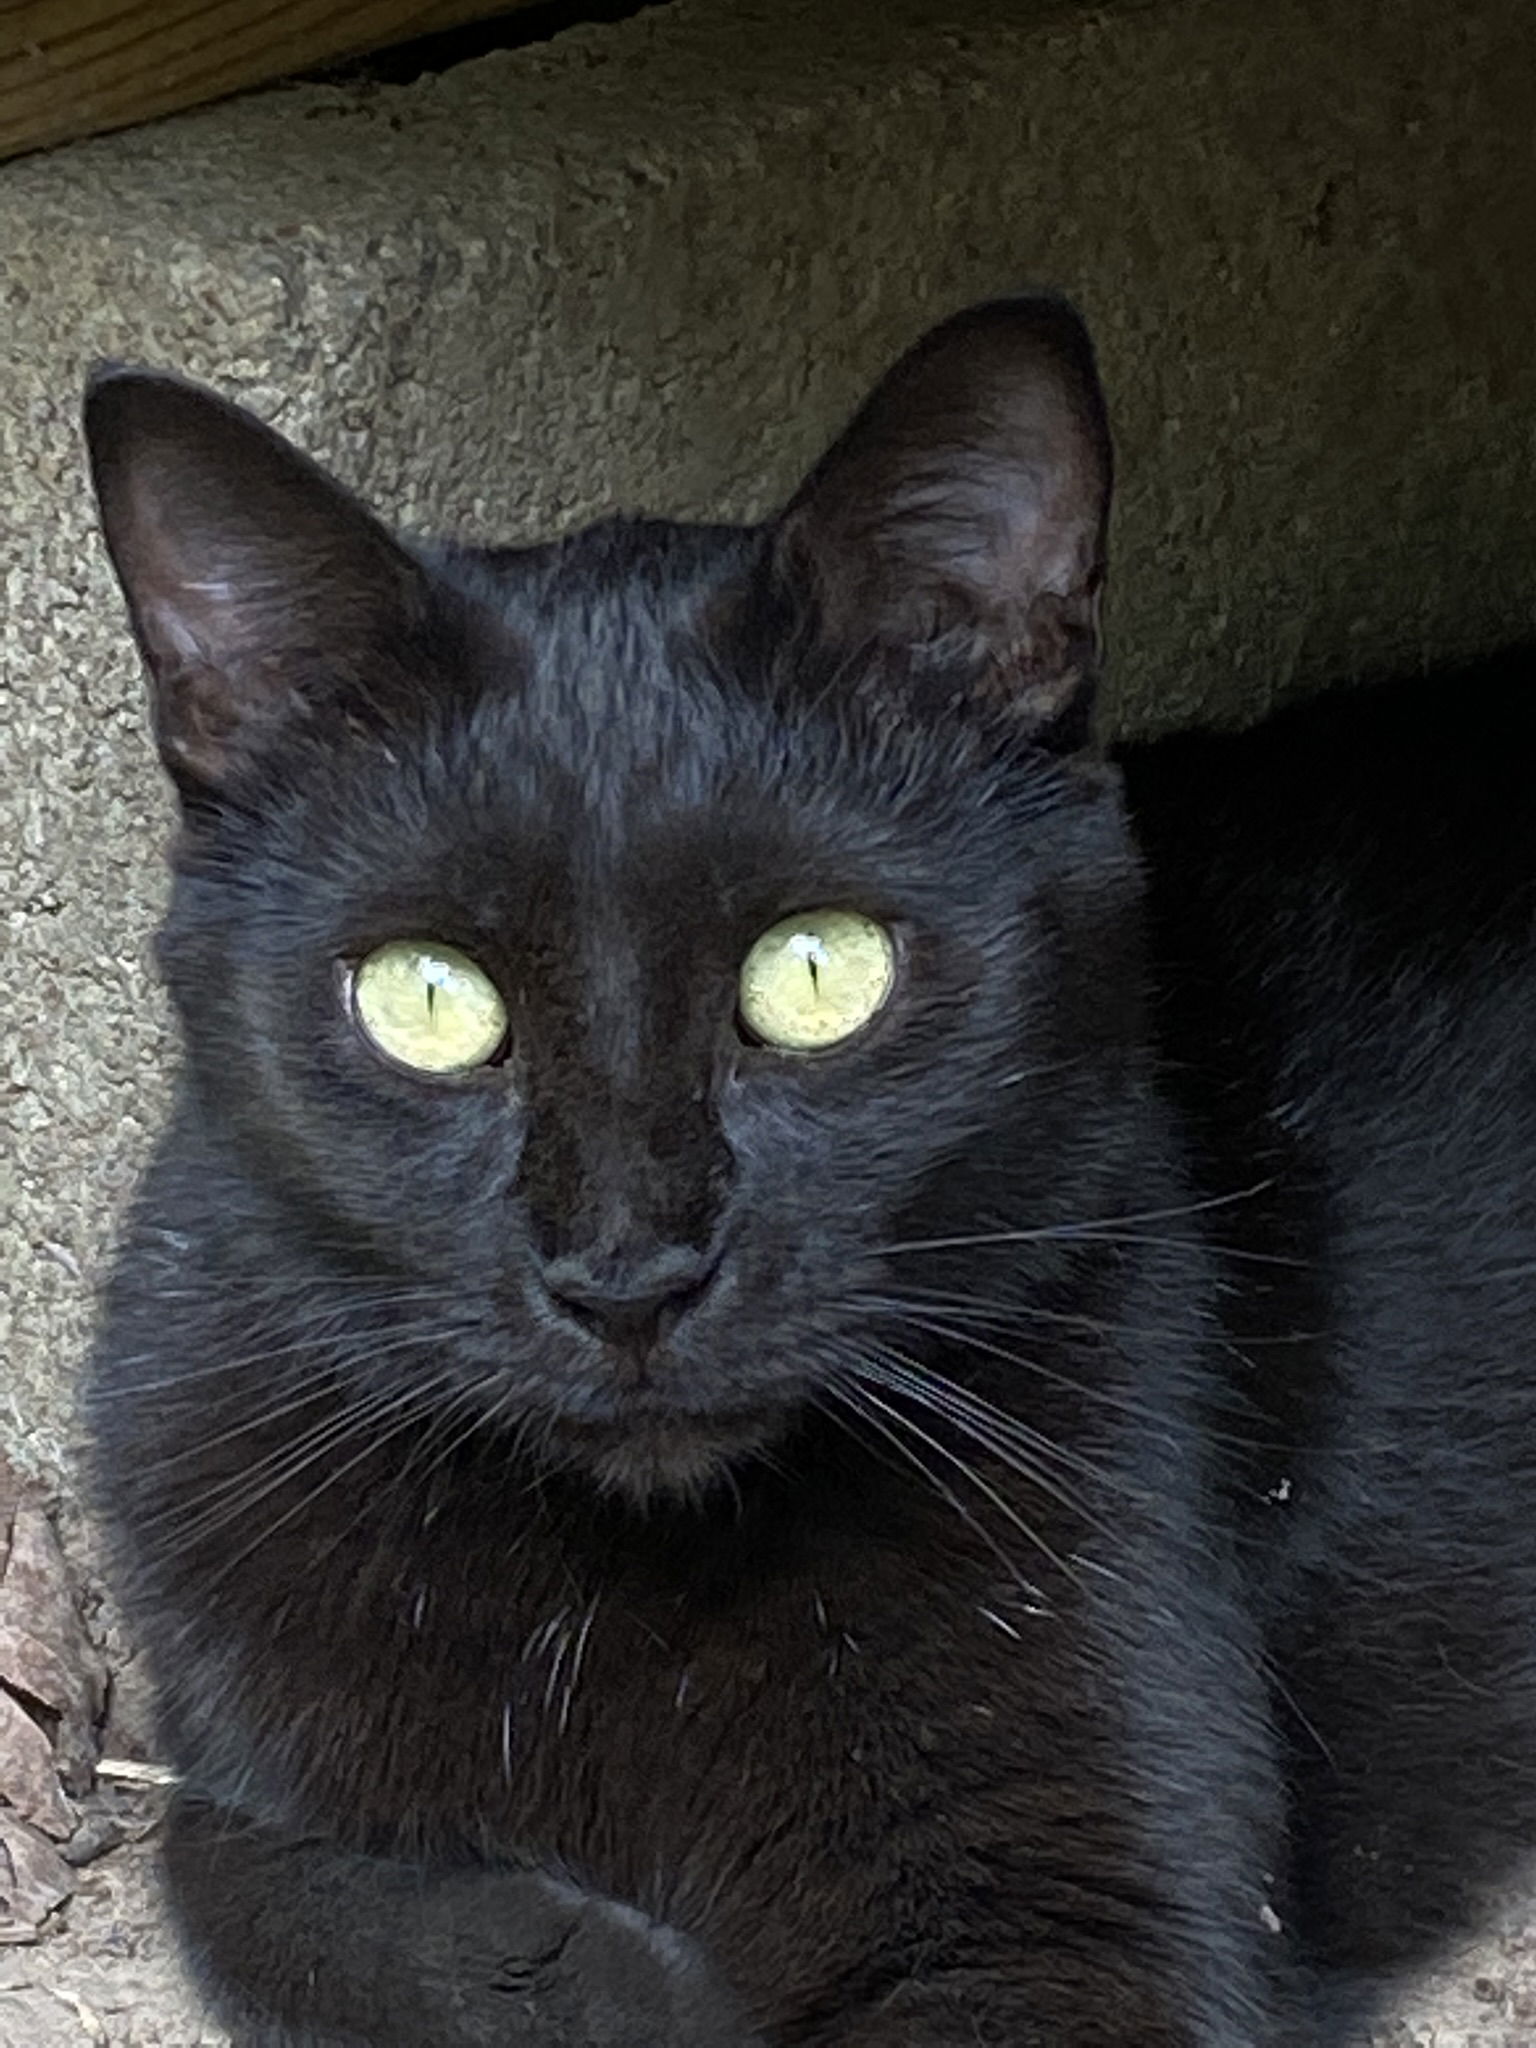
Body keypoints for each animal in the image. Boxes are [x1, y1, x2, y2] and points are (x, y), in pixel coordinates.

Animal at [81, 292, 1536, 2048]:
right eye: (428, 999)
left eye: (819, 971)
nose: (627, 1276)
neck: (619, 1590)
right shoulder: (228, 1711)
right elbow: (253, 1882)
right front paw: (629, 1978)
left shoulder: (1082, 1891)